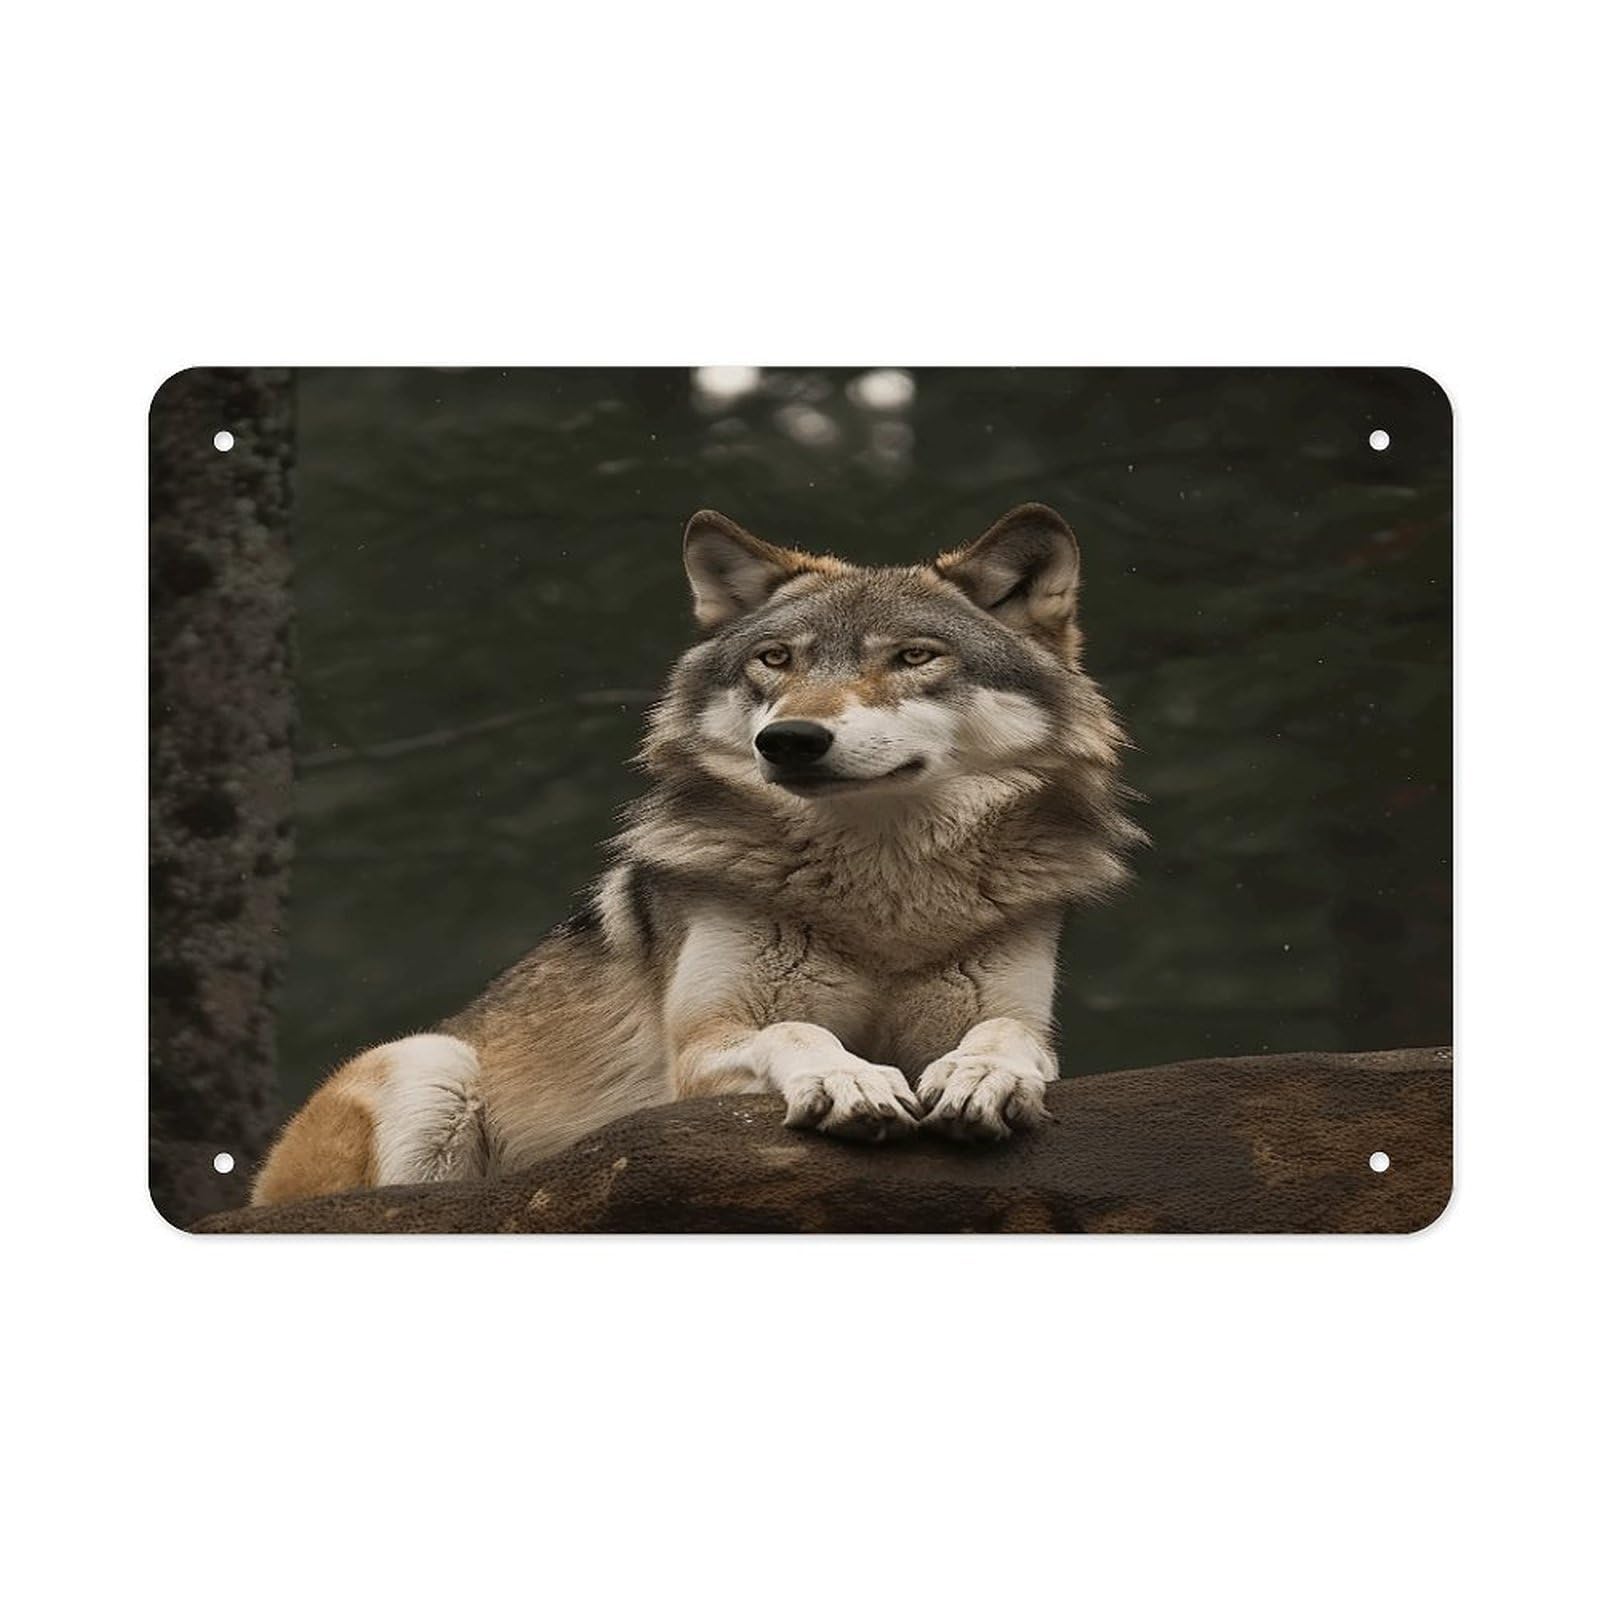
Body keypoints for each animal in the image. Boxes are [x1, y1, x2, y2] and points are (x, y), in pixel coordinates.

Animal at [251, 502, 1143, 1205]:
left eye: (914, 656)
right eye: (776, 659)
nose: (789, 740)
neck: (881, 895)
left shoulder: (1015, 1015)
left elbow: (1009, 1041)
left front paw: (980, 1077)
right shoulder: (703, 1052)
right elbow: (798, 1033)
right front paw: (850, 1078)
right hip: (430, 1062)